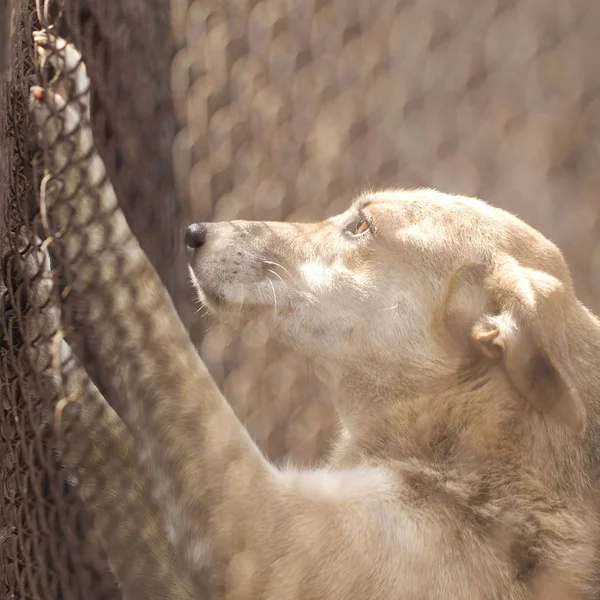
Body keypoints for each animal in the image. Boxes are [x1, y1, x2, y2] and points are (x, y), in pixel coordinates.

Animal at [29, 28, 600, 600]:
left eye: (361, 225)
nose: (194, 234)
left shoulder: (258, 528)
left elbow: (137, 289)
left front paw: (70, 140)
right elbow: (111, 436)